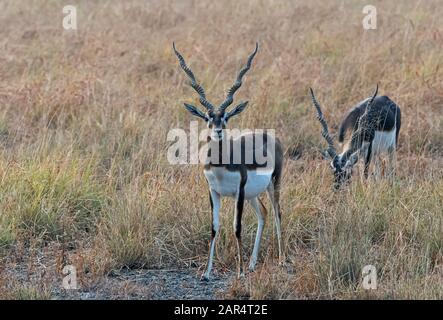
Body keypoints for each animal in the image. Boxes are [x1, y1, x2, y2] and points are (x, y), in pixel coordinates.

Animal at [173, 42, 284, 280]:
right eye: (207, 118)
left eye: (225, 117)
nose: (217, 132)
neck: (220, 166)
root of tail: (270, 136)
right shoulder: (213, 191)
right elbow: (214, 227)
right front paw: (206, 272)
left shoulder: (238, 192)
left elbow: (237, 226)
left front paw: (239, 272)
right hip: (253, 194)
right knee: (263, 213)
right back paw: (252, 264)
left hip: (273, 184)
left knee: (277, 212)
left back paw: (280, 260)